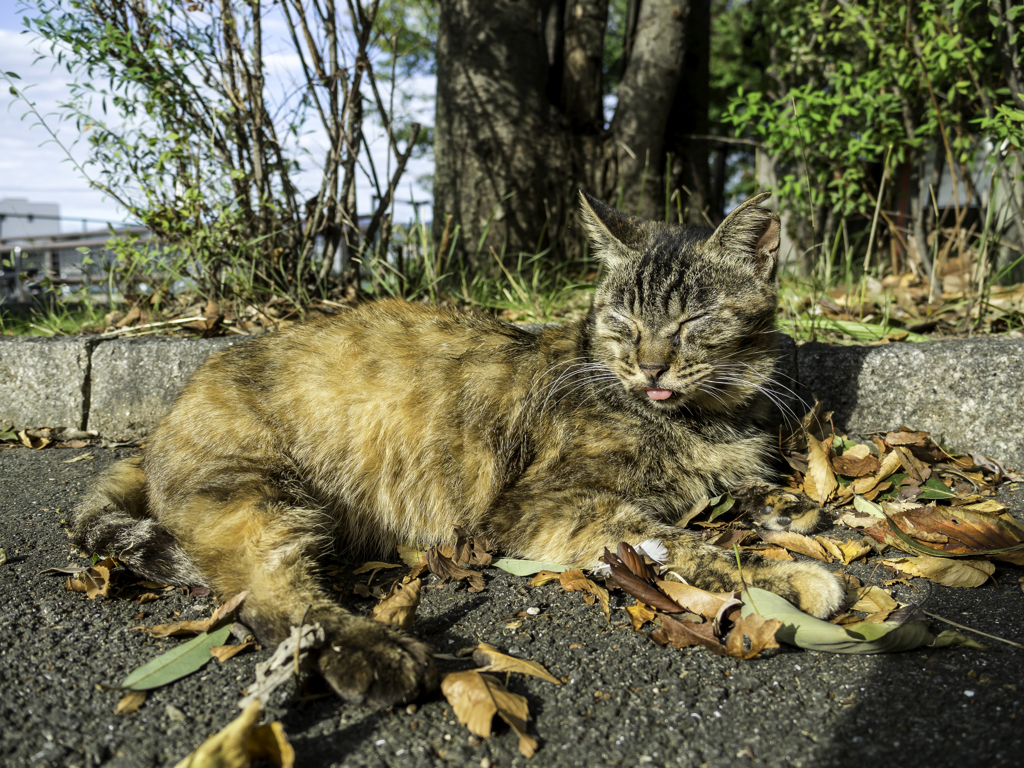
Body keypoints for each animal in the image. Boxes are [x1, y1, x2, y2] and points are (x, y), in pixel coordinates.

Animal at [70, 192, 839, 708]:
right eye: (622, 320)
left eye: (694, 321)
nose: (649, 366)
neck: (701, 419)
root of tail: (167, 417)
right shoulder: (549, 507)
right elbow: (679, 542)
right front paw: (789, 577)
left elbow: (752, 497)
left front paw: (794, 519)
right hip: (260, 494)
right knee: (268, 596)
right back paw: (374, 655)